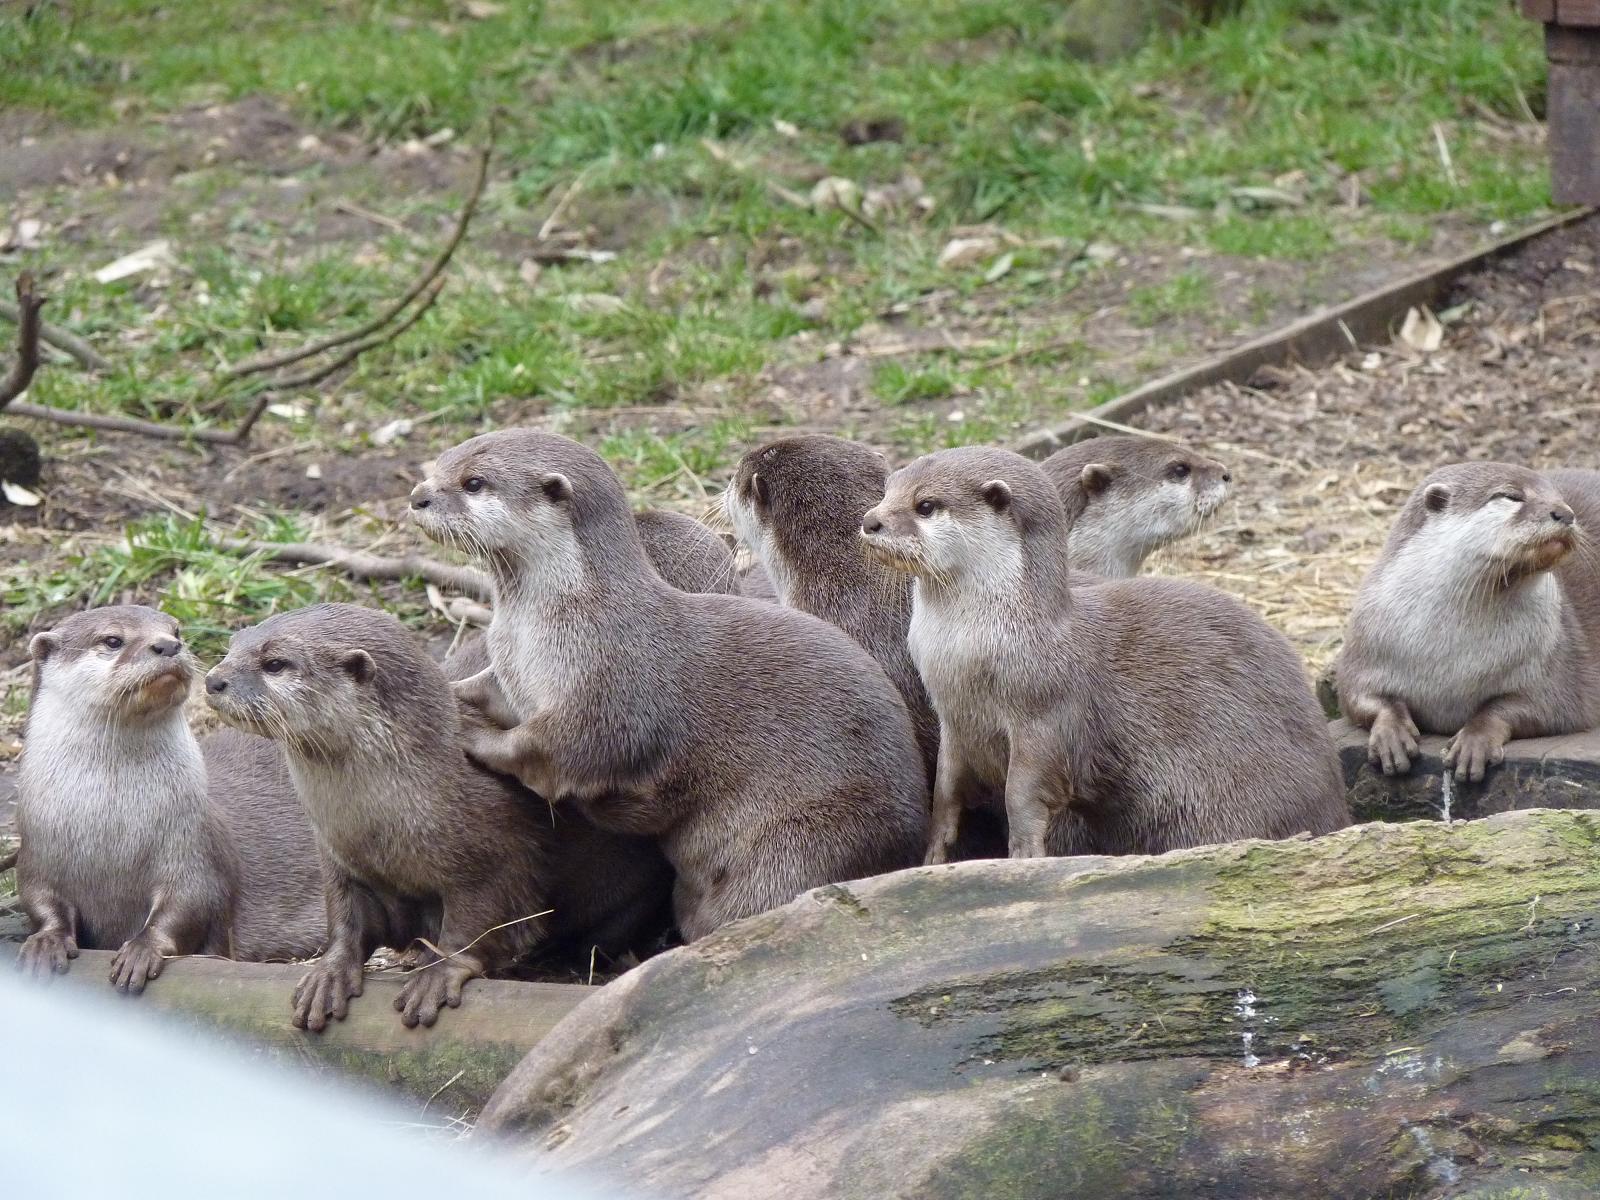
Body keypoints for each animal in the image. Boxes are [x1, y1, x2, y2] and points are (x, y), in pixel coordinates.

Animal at [15, 606, 323, 992]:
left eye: (175, 630)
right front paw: (47, 941)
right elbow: (39, 900)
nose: (168, 645)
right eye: (112, 640)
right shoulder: (36, 852)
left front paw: (141, 950)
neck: (111, 825)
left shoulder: (194, 849)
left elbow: (188, 904)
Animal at [205, 603, 671, 1031]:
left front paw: (439, 973)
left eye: (275, 663)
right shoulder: (339, 859)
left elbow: (478, 919)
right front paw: (329, 974)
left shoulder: (498, 852)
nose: (213, 679)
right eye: (232, 645)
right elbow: (346, 920)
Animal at [408, 428, 928, 940]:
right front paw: (448, 695)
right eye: (441, 464)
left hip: (800, 845)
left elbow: (546, 751)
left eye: (474, 483)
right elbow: (485, 691)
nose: (417, 496)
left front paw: (470, 733)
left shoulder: (608, 696)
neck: (545, 630)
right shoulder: (509, 674)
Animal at [1336, 463, 1600, 782]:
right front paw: (1391, 735)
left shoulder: (1556, 663)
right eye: (1511, 496)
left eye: (1559, 496)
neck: (1453, 657)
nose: (1565, 513)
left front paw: (1474, 743)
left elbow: (1532, 706)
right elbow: (1361, 697)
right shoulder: (1365, 648)